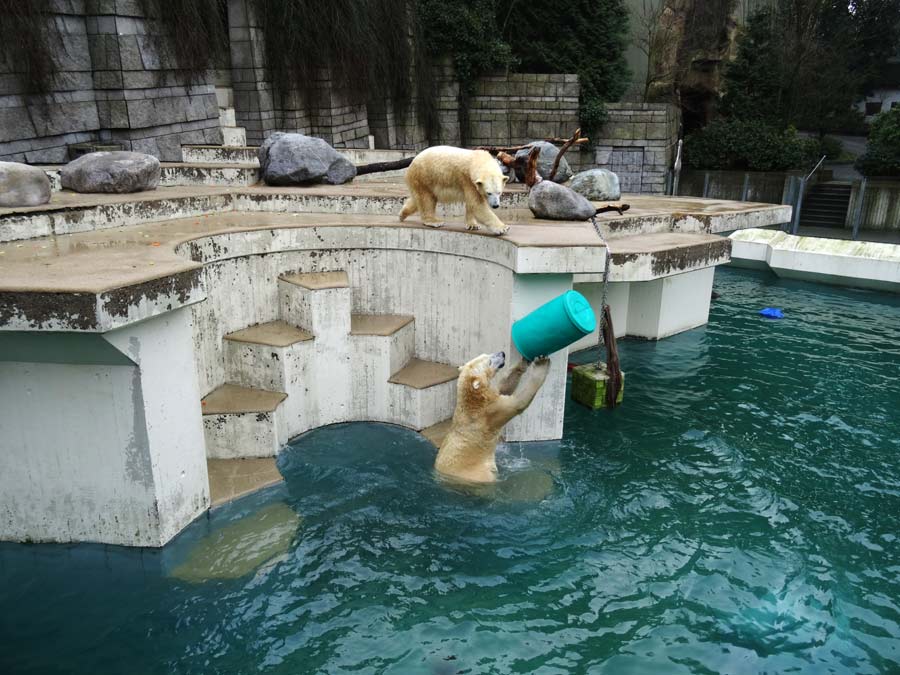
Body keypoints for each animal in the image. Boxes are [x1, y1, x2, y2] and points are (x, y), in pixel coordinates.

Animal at [434, 352, 548, 484]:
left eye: (486, 354)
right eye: (489, 361)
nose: (503, 353)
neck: (473, 402)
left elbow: (504, 388)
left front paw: (523, 362)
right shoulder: (490, 412)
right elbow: (517, 403)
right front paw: (541, 365)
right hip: (479, 473)